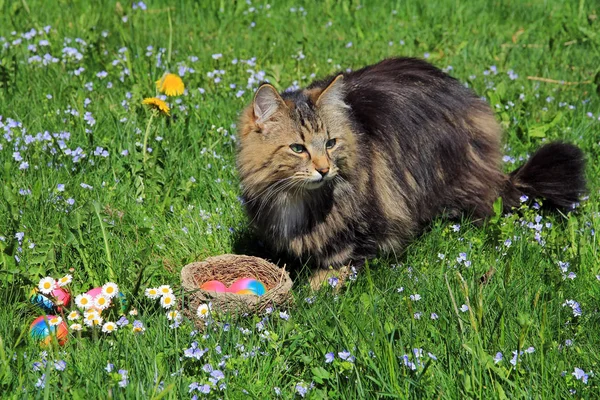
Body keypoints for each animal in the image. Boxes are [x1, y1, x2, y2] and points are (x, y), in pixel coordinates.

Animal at [236, 57, 584, 286]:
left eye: (331, 143)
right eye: (298, 149)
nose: (324, 169)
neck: (296, 199)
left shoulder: (369, 226)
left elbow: (337, 266)